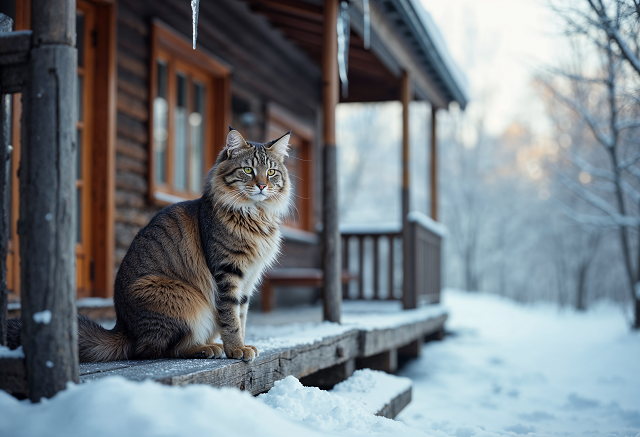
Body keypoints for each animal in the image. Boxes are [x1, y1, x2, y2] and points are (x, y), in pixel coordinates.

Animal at [6, 127, 292, 362]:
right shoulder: (228, 273)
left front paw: (242, 344)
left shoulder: (248, 280)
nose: (262, 185)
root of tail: (124, 329)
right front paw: (236, 349)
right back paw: (207, 348)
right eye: (247, 170)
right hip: (182, 298)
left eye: (271, 172)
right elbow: (231, 319)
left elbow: (241, 317)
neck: (255, 216)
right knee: (157, 350)